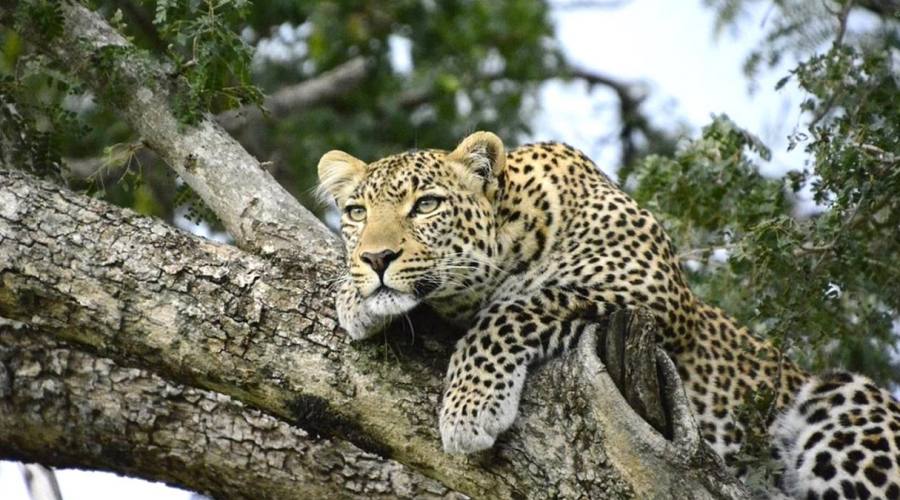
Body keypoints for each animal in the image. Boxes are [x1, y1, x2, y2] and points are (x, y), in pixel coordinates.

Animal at [316, 131, 900, 499]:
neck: (519, 224)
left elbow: (515, 307)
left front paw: (470, 407)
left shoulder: (648, 291)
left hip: (846, 402)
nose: (376, 257)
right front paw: (353, 294)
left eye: (427, 205)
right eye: (357, 213)